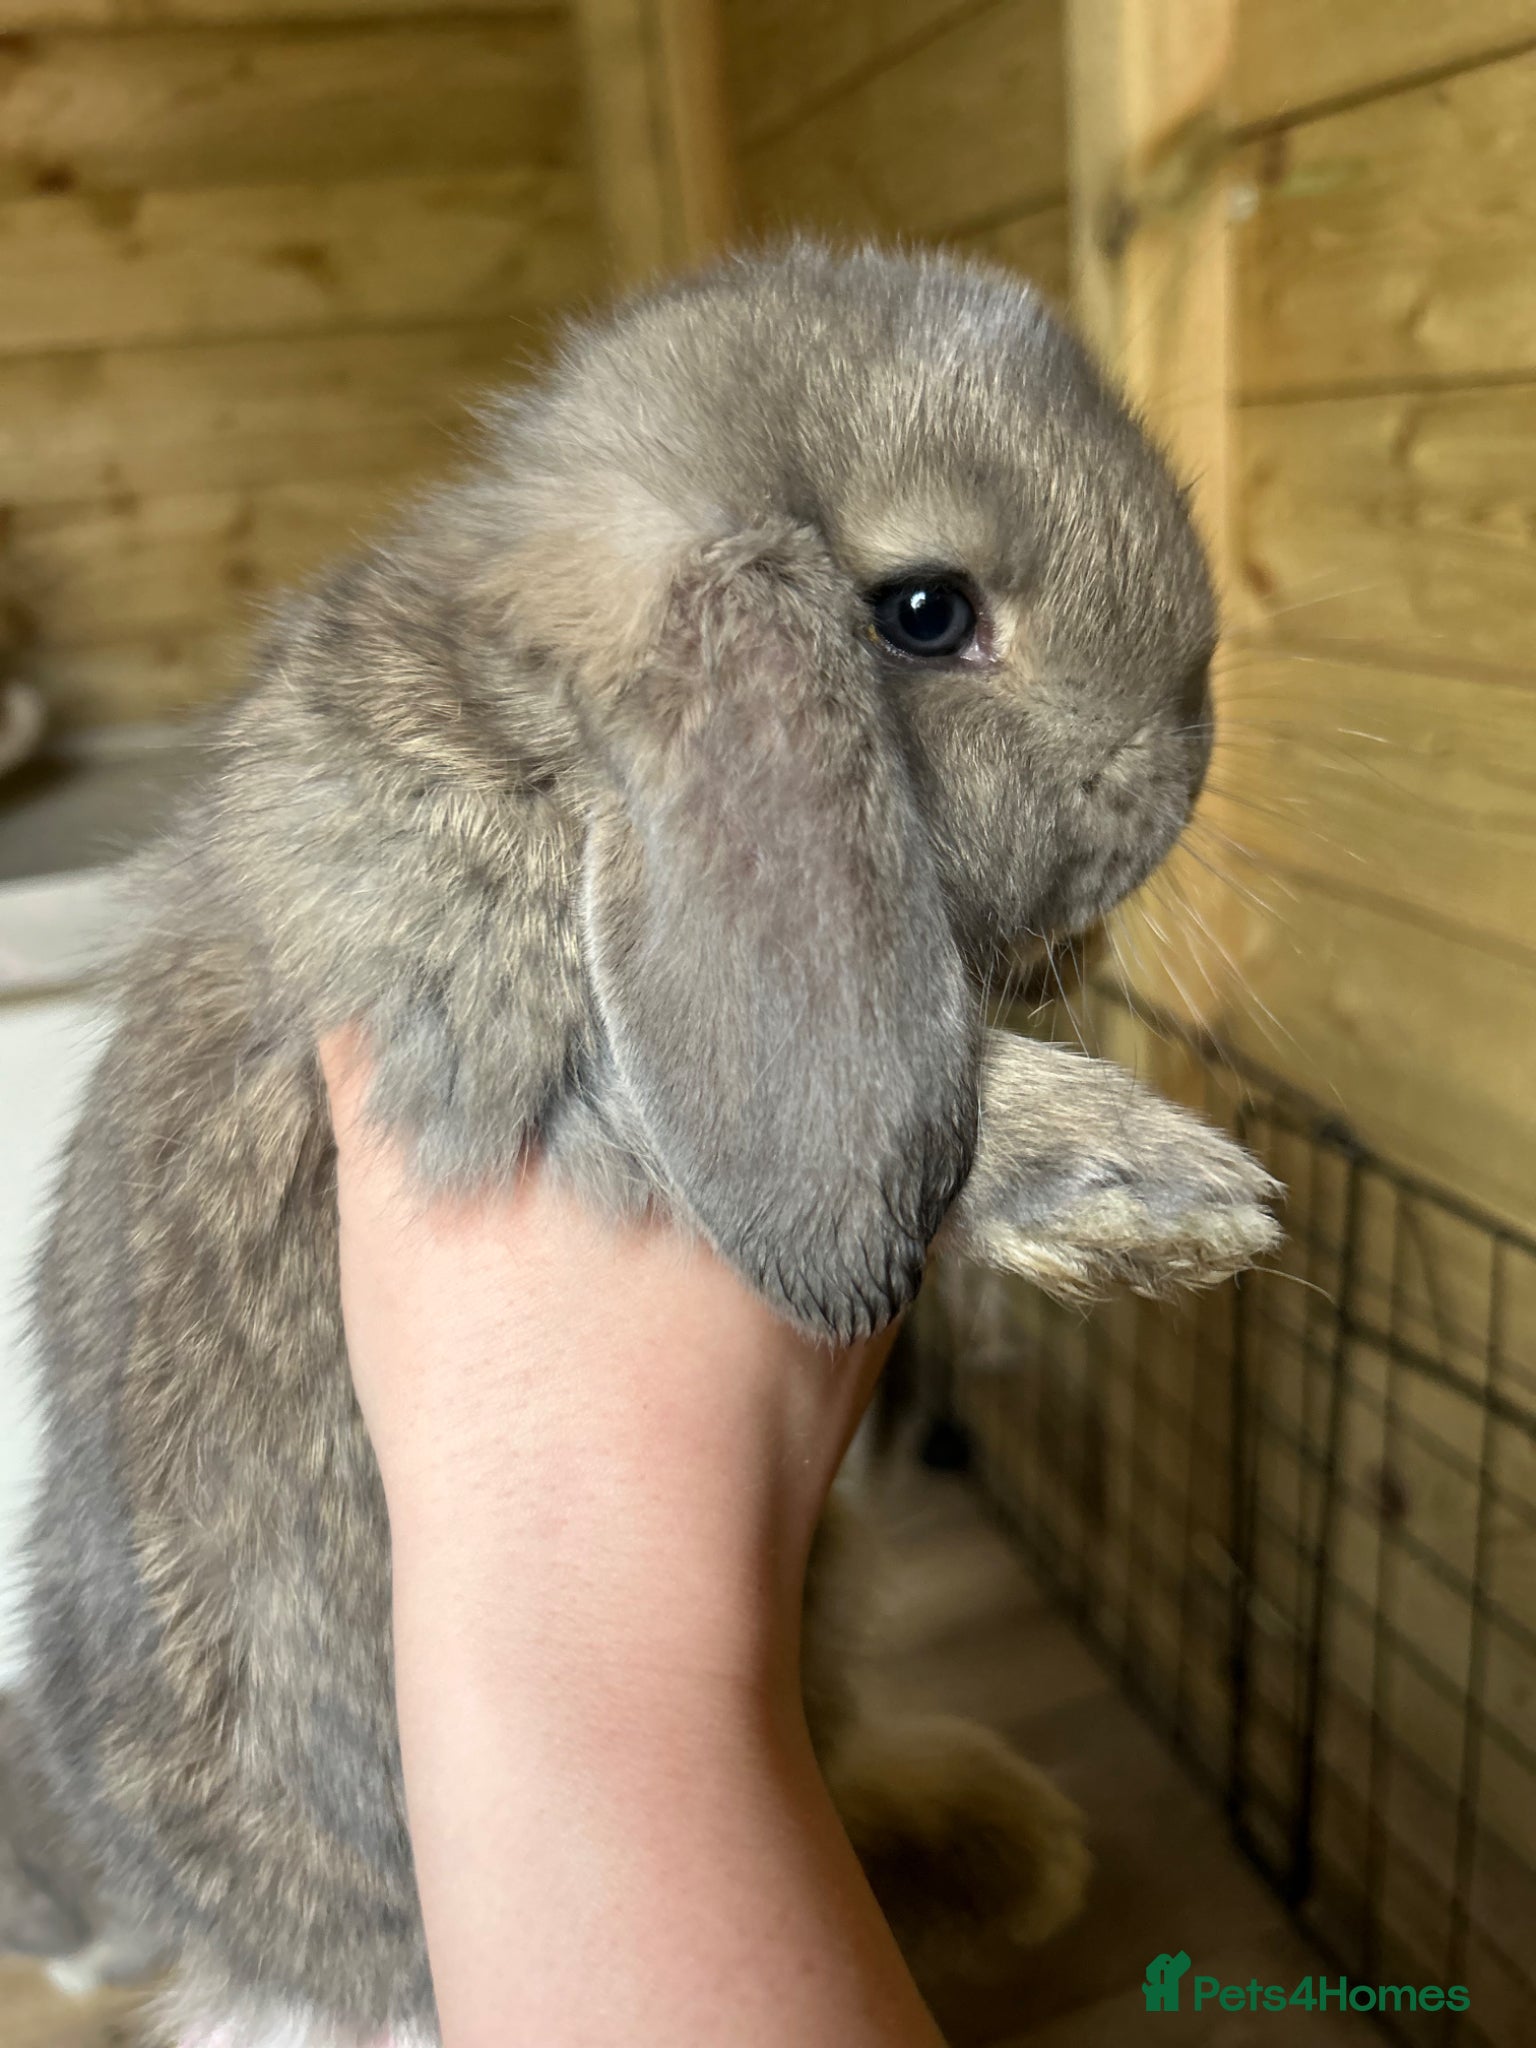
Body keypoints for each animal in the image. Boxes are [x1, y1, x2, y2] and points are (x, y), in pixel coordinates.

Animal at [19, 242, 1279, 2048]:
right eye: (924, 612)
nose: (1179, 766)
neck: (545, 739)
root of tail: (280, 1960)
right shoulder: (528, 1053)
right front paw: (1158, 1194)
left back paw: (1013, 1846)